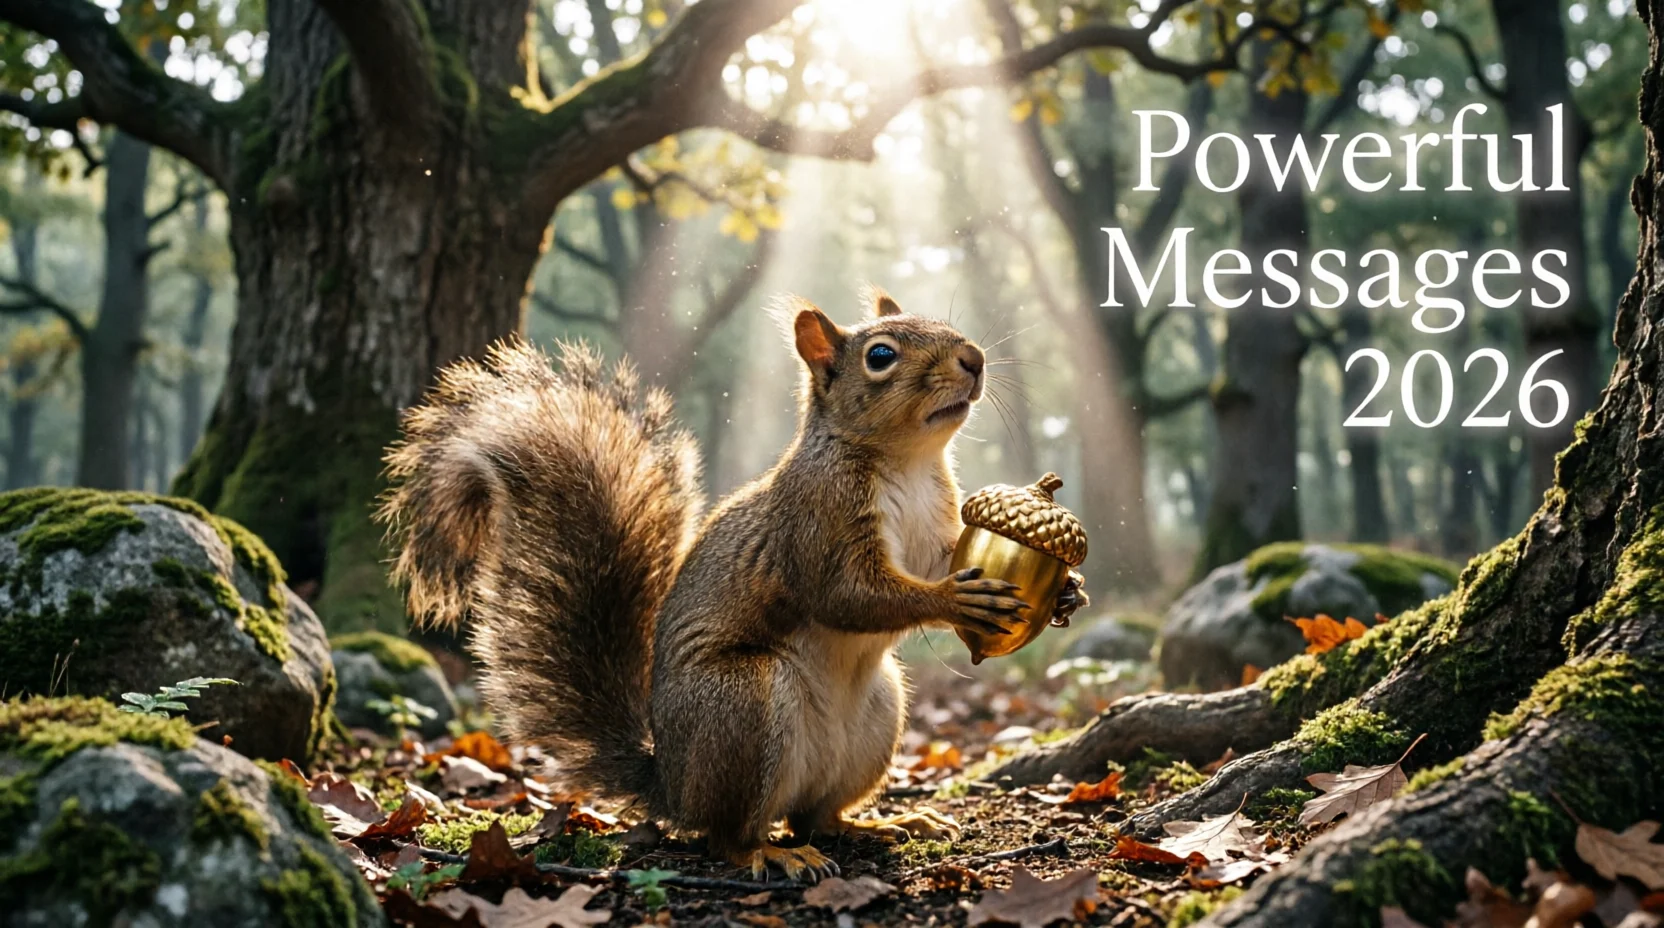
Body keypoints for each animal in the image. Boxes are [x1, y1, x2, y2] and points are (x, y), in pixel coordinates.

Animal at [379, 289, 1086, 881]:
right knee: (729, 834)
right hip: (743, 703)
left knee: (817, 816)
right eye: (881, 356)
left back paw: (882, 821)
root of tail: (672, 782)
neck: (907, 464)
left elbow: (935, 563)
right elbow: (849, 596)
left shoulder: (939, 535)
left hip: (878, 714)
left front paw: (1069, 591)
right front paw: (954, 601)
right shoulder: (817, 520)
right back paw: (772, 855)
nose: (974, 359)